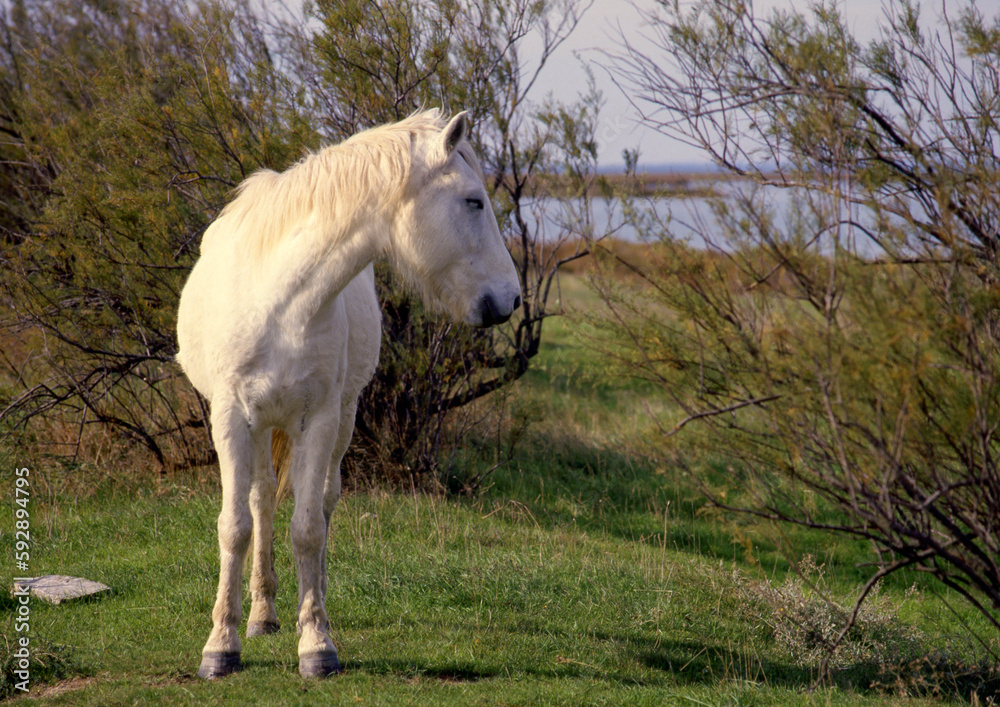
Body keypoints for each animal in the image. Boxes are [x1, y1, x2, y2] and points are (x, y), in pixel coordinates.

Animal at [175, 109, 521, 679]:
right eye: (473, 201)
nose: (510, 299)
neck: (278, 302)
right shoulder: (228, 417)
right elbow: (235, 526)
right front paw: (220, 645)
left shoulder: (318, 419)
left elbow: (309, 529)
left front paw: (316, 643)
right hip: (263, 425)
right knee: (262, 500)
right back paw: (263, 614)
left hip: (342, 417)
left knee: (321, 503)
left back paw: (308, 607)